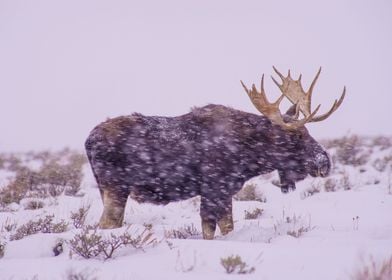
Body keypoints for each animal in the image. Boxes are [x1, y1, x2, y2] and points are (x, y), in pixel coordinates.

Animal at [85, 67, 344, 238]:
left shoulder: (225, 192)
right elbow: (210, 230)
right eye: (295, 136)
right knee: (106, 224)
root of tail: (88, 141)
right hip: (116, 188)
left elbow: (227, 227)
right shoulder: (213, 189)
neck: (249, 158)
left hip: (106, 189)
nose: (324, 162)